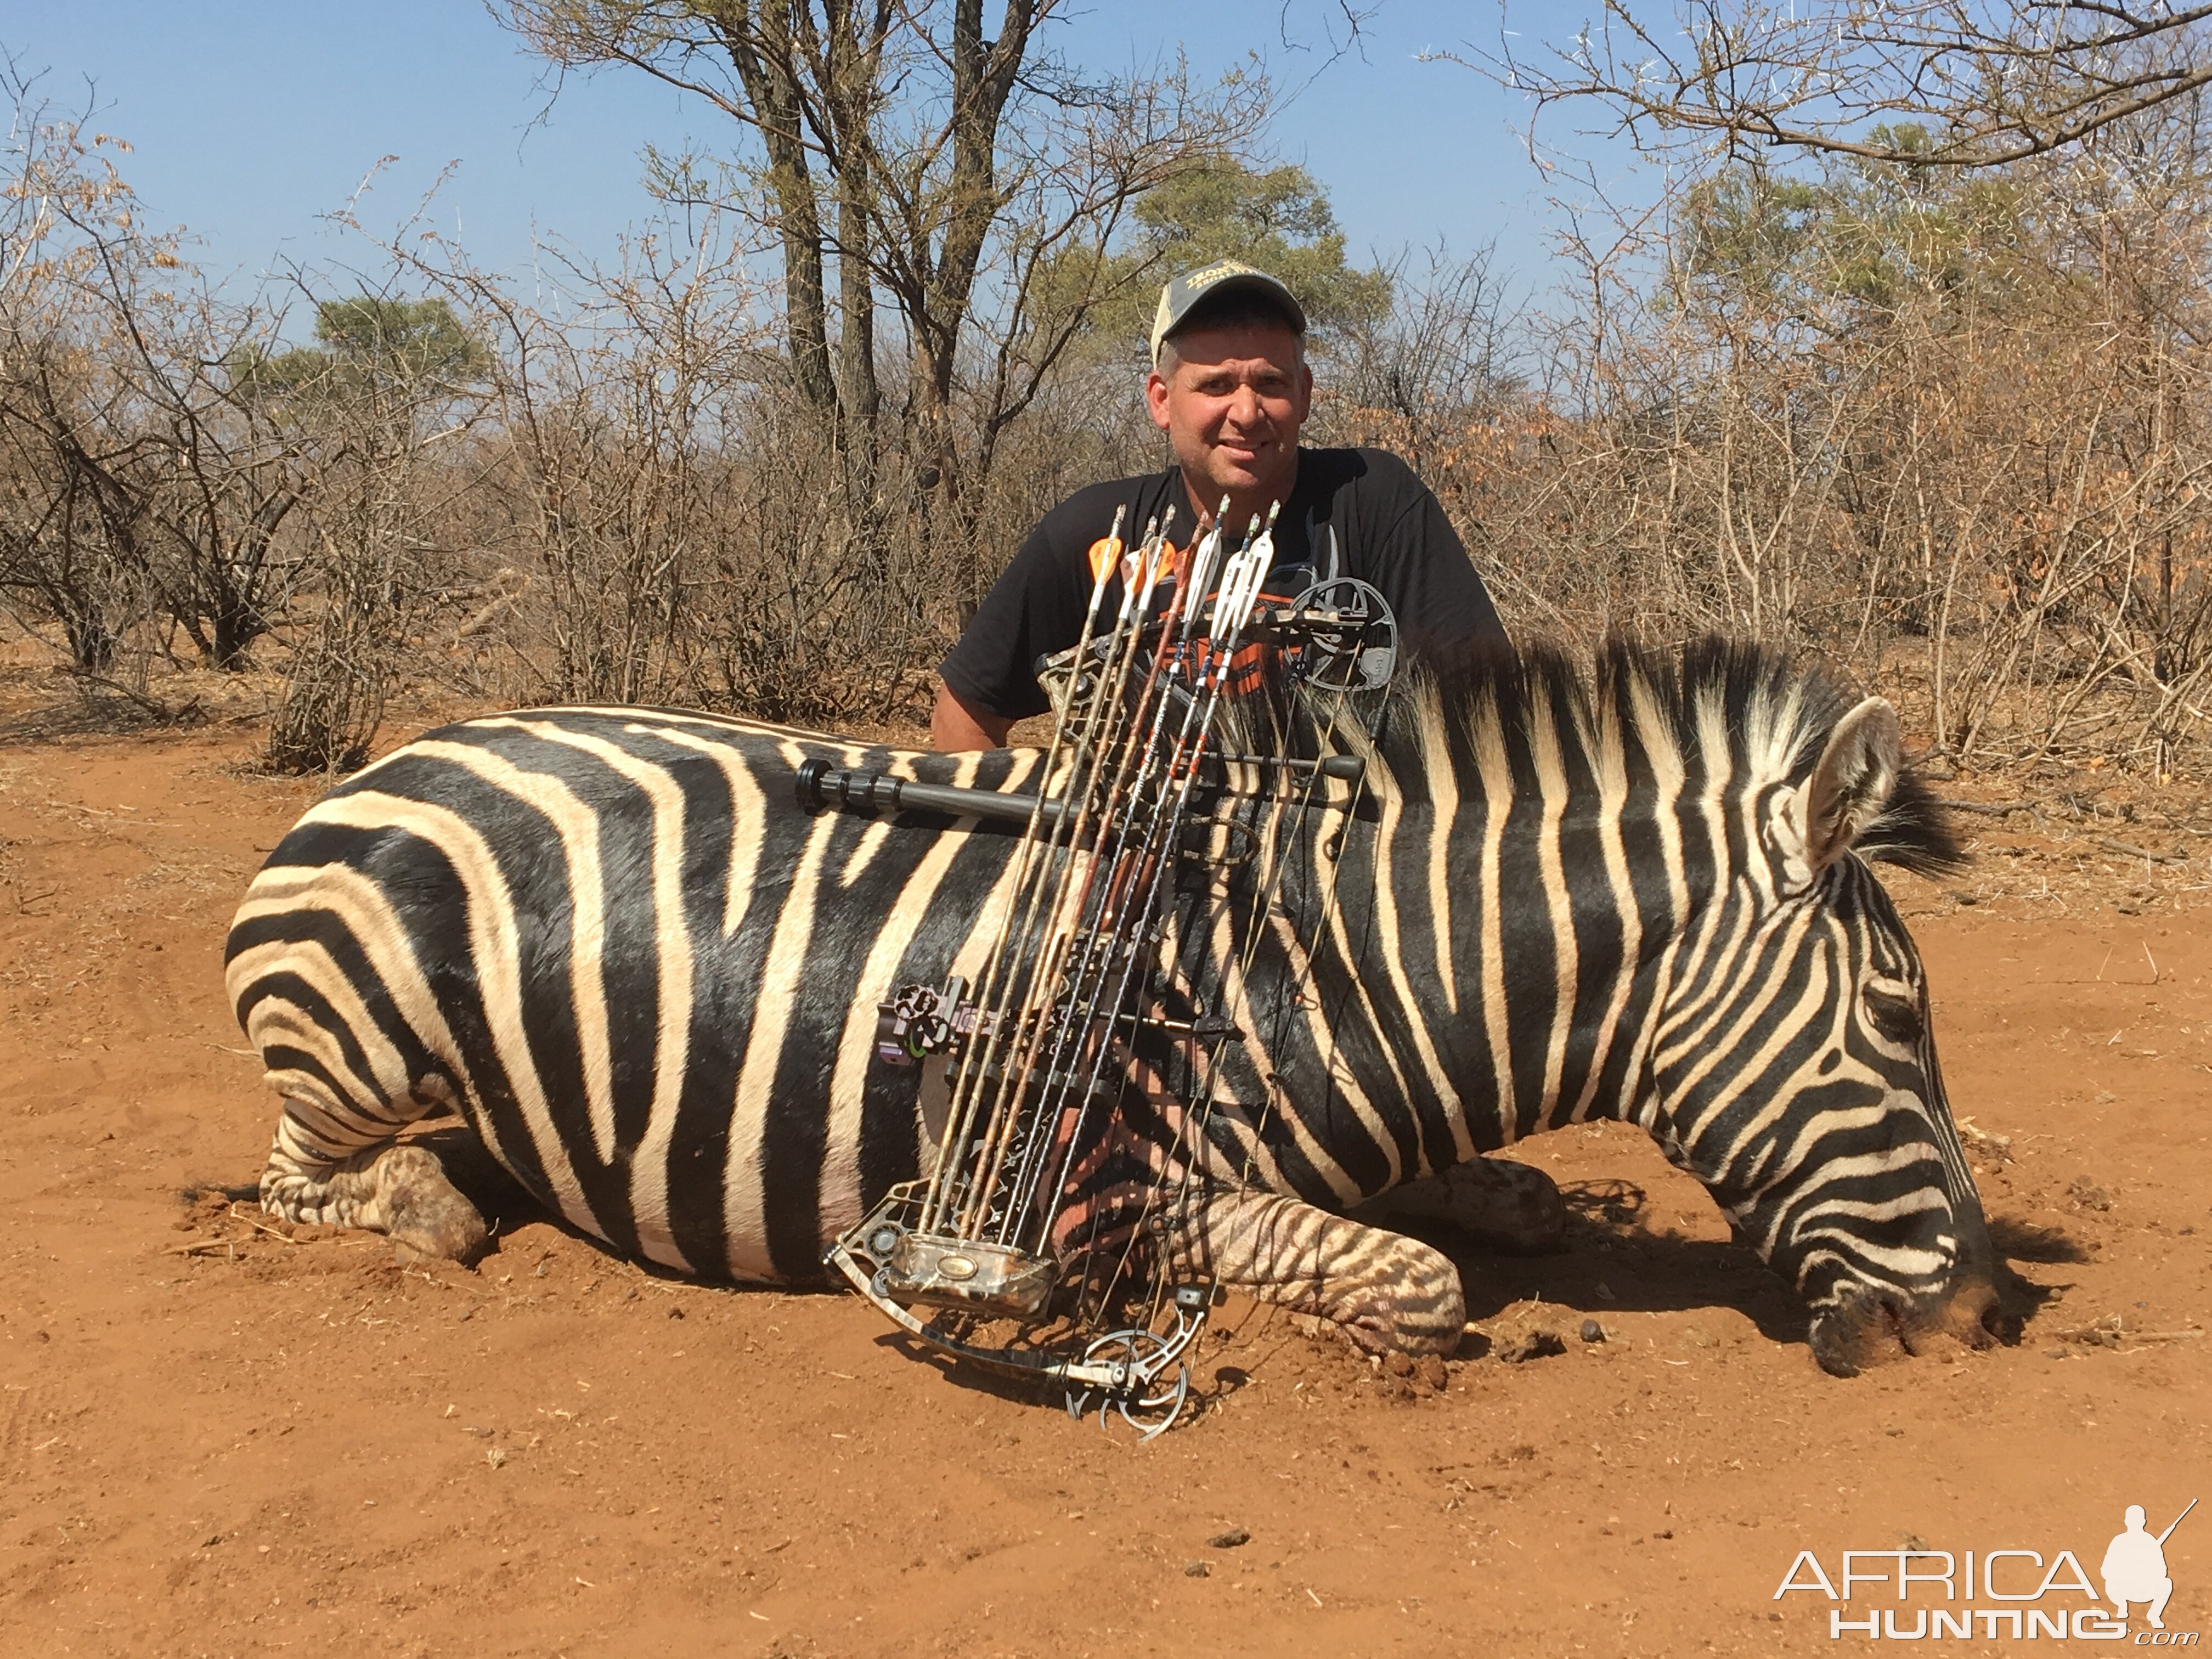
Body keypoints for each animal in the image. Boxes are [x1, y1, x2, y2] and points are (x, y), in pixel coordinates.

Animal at [229, 641, 2026, 1380]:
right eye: (1898, 1019)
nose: (1979, 1316)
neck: (1339, 969)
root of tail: (409, 744)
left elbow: (1496, 1197)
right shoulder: (1120, 1201)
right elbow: (1419, 1280)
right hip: (357, 1044)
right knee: (316, 1180)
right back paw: (437, 1199)